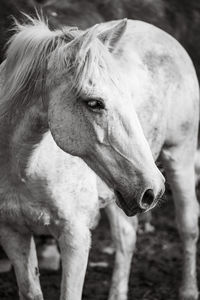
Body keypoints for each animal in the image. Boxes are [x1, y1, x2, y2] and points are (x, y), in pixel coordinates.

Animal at [0, 16, 198, 300]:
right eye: (94, 103)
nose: (154, 189)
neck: (22, 168)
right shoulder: (12, 233)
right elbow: (30, 291)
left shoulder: (75, 236)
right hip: (122, 189)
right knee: (126, 237)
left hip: (179, 157)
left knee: (188, 225)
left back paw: (189, 290)